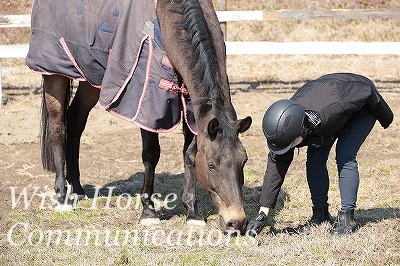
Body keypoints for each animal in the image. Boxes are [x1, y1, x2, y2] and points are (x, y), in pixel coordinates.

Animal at [26, 0, 252, 233]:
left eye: (243, 161)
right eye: (211, 165)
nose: (236, 222)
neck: (169, 18)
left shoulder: (192, 108)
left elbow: (189, 154)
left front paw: (192, 212)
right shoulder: (148, 105)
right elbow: (151, 155)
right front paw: (148, 211)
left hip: (91, 78)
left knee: (76, 121)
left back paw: (78, 188)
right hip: (54, 73)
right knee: (58, 127)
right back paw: (62, 196)